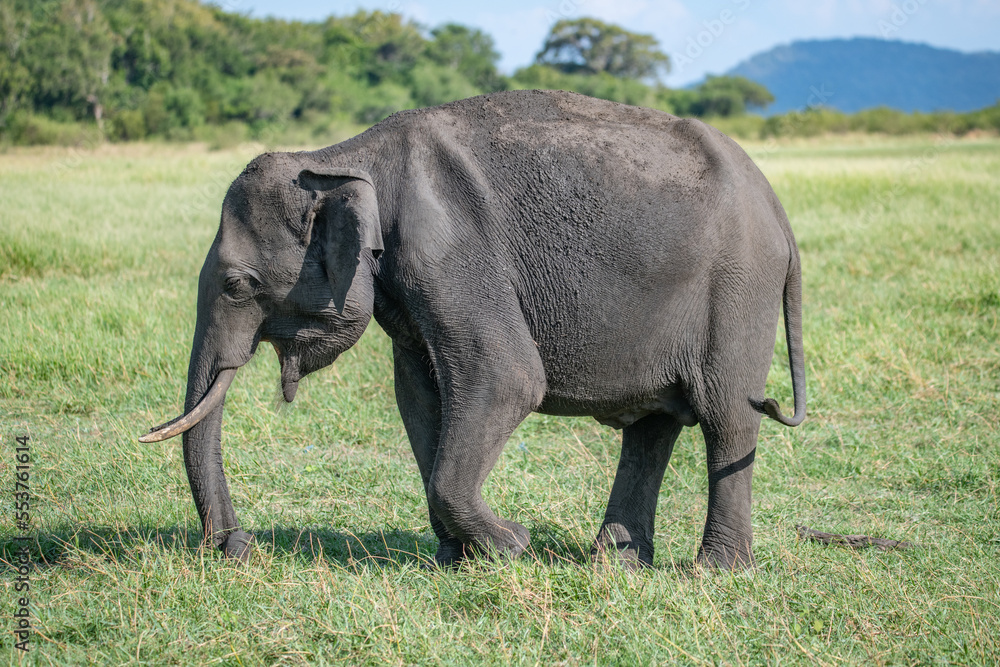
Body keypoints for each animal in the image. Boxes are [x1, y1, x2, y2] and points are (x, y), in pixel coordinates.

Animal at [140, 89, 805, 570]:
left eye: (237, 284)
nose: (237, 546)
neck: (342, 157)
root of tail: (778, 208)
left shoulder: (448, 250)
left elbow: (507, 377)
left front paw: (513, 545)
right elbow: (419, 395)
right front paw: (458, 561)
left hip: (739, 288)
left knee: (727, 417)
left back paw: (715, 571)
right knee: (651, 427)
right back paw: (616, 565)